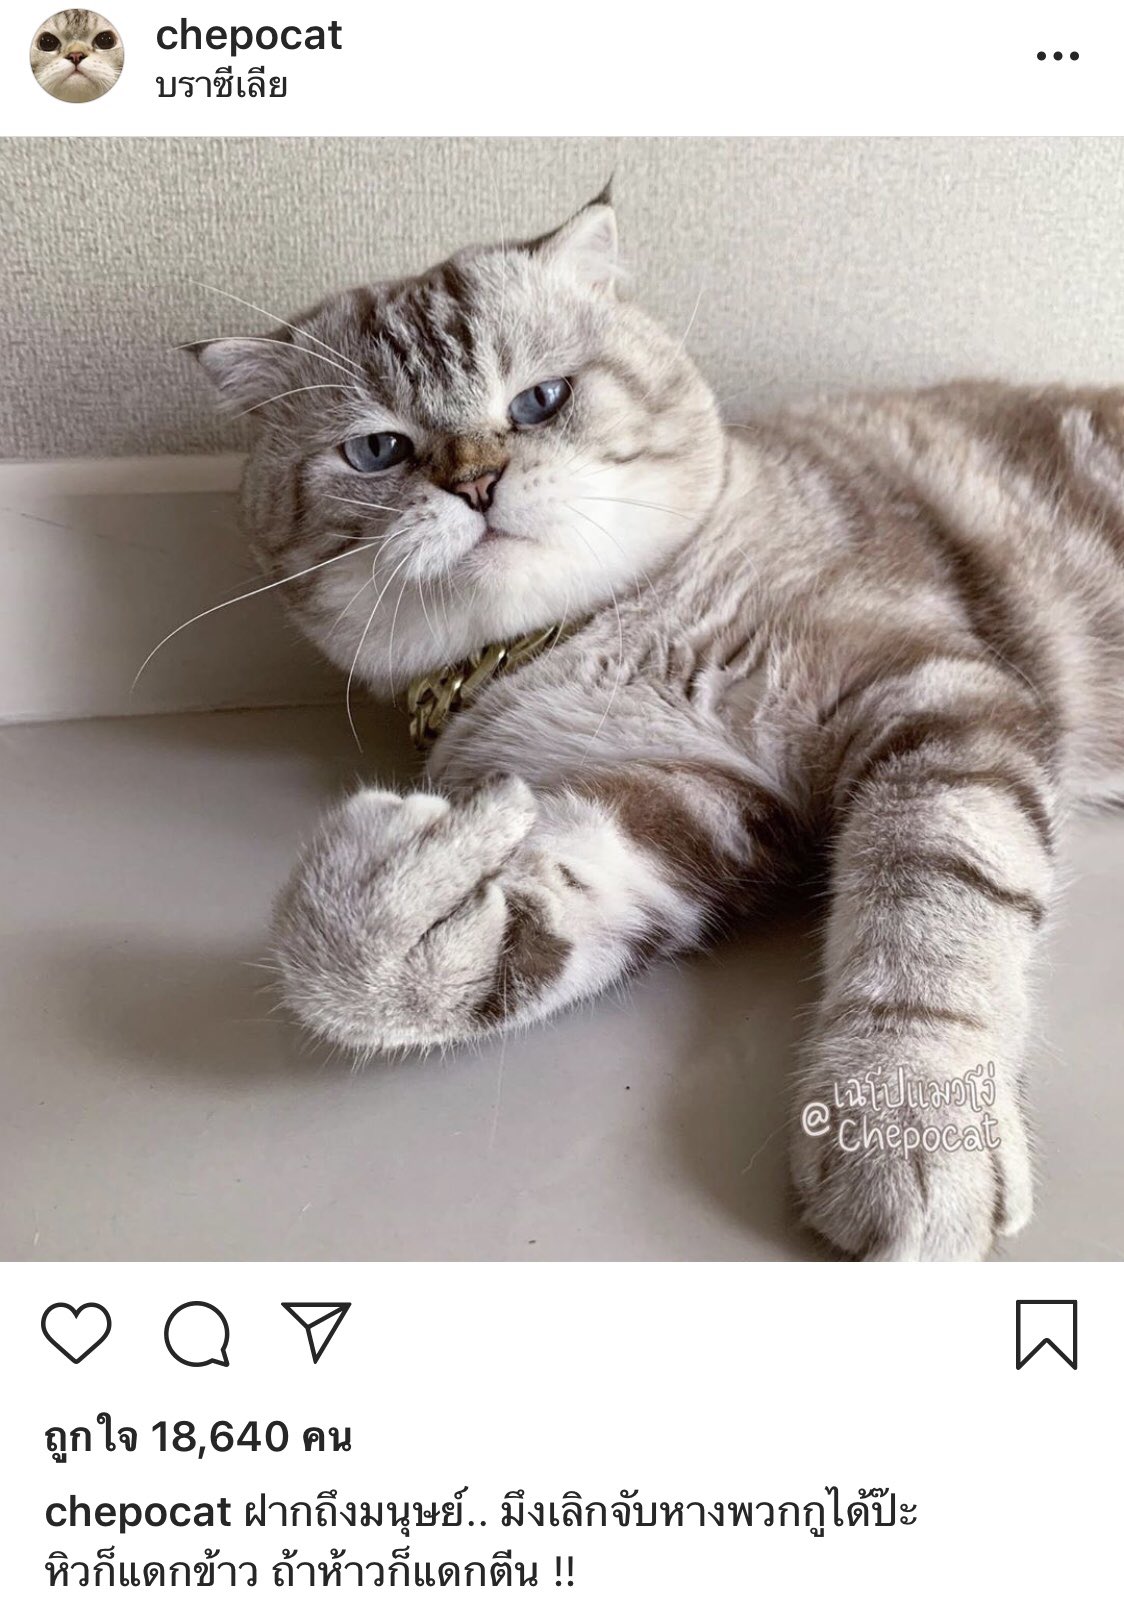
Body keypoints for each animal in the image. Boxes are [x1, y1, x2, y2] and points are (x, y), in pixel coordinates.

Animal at [190, 194, 1124, 1261]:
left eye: (541, 401)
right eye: (379, 450)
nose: (476, 482)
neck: (599, 638)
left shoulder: (933, 695)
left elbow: (931, 914)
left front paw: (905, 1117)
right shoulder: (699, 813)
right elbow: (489, 916)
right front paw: (415, 877)